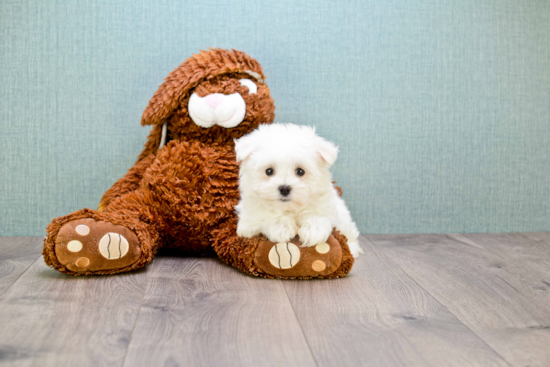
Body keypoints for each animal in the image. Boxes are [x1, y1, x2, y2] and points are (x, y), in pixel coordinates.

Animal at [235, 123, 364, 258]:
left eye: (300, 171)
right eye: (269, 171)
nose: (284, 188)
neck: (291, 208)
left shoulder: (327, 207)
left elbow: (318, 214)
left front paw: (314, 229)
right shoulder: (248, 222)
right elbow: (267, 216)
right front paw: (281, 226)